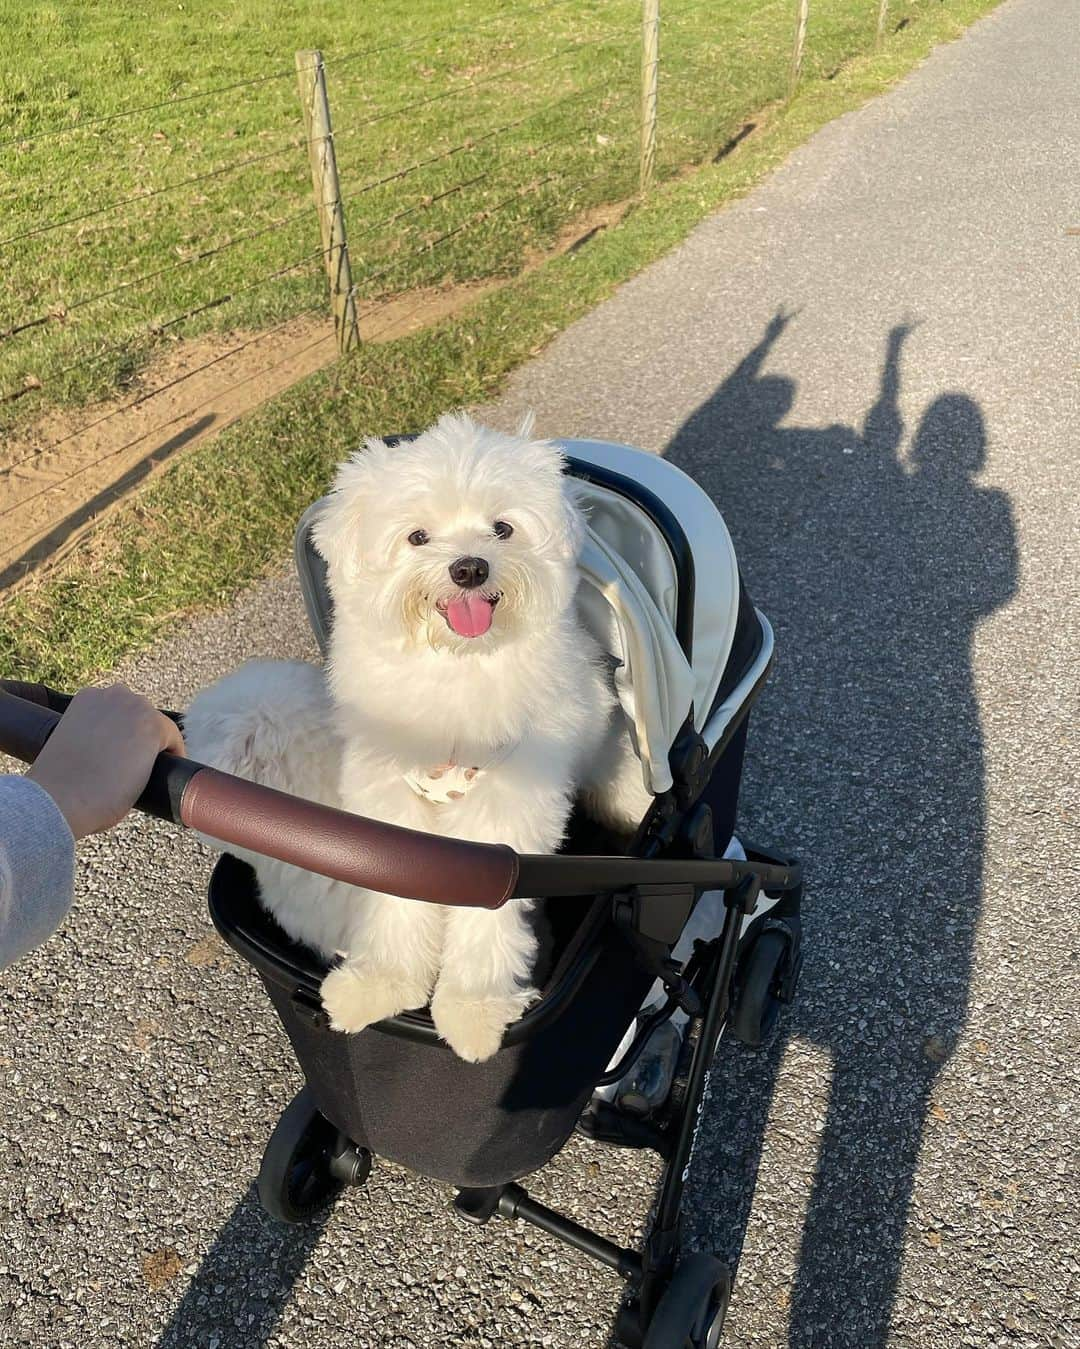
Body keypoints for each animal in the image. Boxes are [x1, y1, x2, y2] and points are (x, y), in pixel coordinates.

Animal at [186, 412, 649, 1063]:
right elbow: (396, 905)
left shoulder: (503, 823)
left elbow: (487, 924)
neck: (453, 667)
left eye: (502, 527)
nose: (470, 567)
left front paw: (474, 1010)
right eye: (417, 537)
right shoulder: (392, 818)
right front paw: (380, 985)